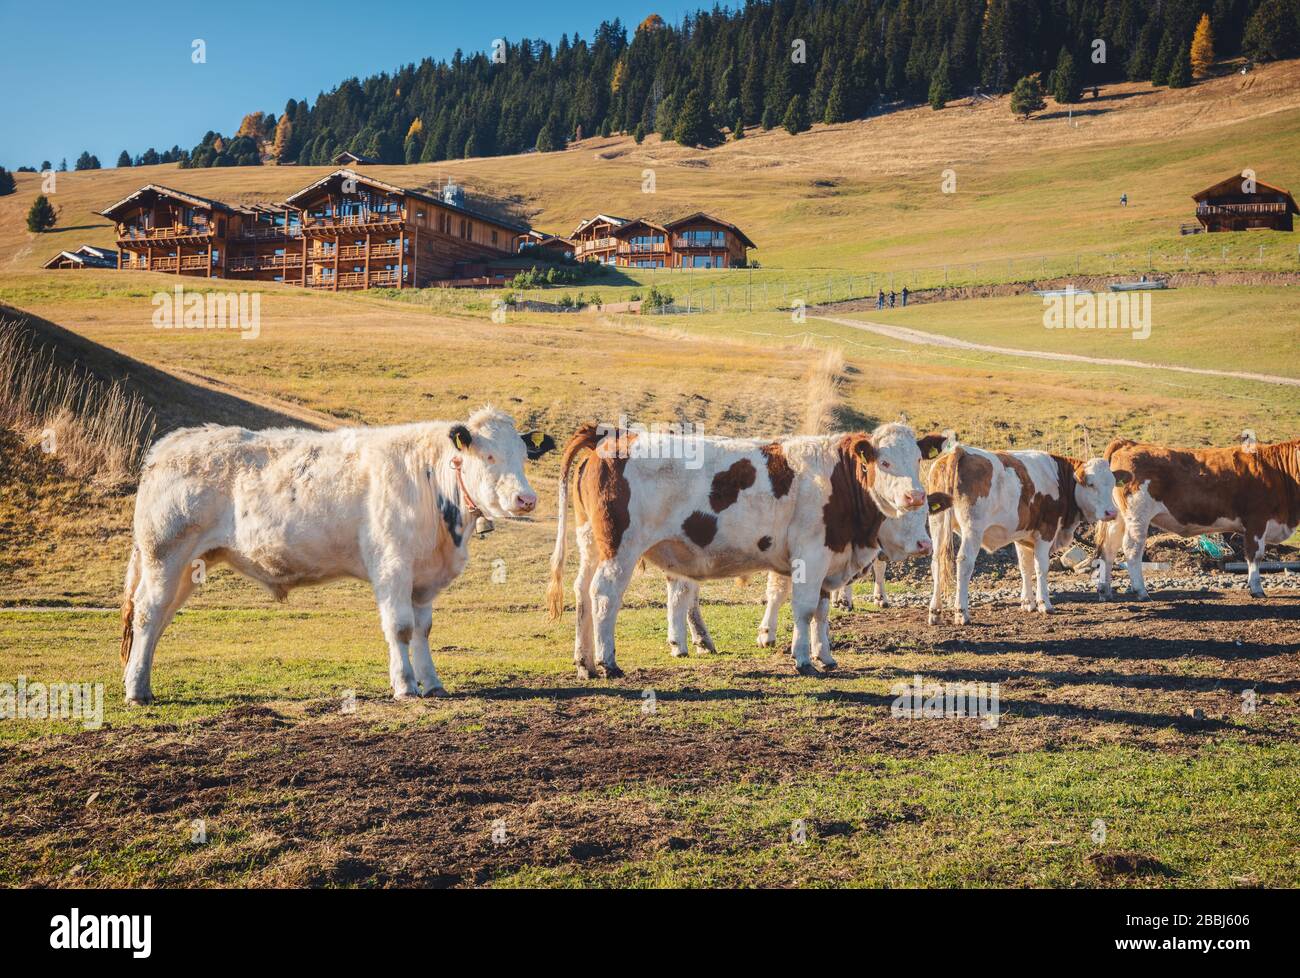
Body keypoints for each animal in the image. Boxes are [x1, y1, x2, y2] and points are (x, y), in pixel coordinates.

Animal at [119, 407, 555, 705]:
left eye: (523, 455)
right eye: (489, 457)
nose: (527, 499)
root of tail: (170, 445)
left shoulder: (423, 577)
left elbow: (423, 629)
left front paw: (432, 683)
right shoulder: (392, 566)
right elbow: (400, 628)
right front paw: (405, 686)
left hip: (188, 565)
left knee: (159, 619)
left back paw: (138, 681)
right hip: (165, 555)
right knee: (147, 613)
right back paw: (137, 690)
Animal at [663, 491, 953, 657]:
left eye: (925, 511)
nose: (925, 544)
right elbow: (779, 592)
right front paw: (767, 634)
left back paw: (700, 640)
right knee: (682, 590)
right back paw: (686, 642)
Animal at [926, 446, 1121, 625]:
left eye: (1112, 484)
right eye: (1091, 484)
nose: (1112, 512)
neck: (1059, 477)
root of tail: (960, 451)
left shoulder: (1022, 536)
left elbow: (1025, 567)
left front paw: (1028, 603)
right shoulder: (1046, 530)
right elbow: (1041, 567)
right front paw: (1044, 604)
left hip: (937, 523)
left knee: (936, 562)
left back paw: (935, 612)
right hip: (972, 529)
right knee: (964, 563)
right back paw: (962, 613)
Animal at [1097, 437, 1300, 600]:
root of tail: (1129, 443)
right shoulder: (1256, 521)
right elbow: (1255, 555)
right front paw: (1257, 589)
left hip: (1118, 518)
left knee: (1109, 548)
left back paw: (1105, 591)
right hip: (1137, 516)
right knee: (1132, 549)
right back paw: (1141, 592)